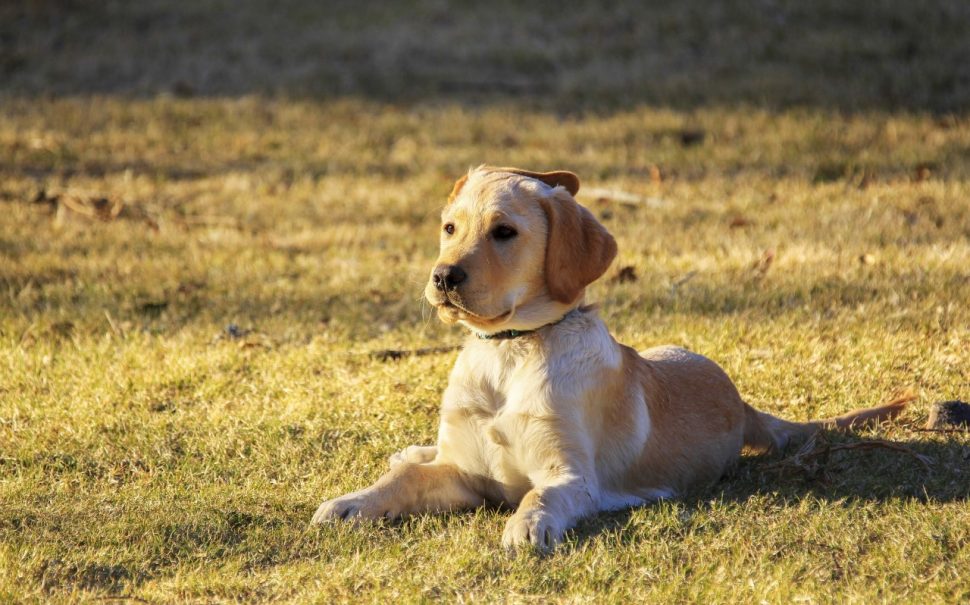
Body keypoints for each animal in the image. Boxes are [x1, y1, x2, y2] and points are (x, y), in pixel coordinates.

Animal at [312, 165, 908, 548]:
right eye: (449, 228)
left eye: (504, 232)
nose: (442, 277)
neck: (510, 352)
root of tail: (742, 405)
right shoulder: (462, 471)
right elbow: (405, 482)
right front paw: (352, 502)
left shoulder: (571, 477)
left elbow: (539, 497)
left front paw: (526, 526)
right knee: (416, 458)